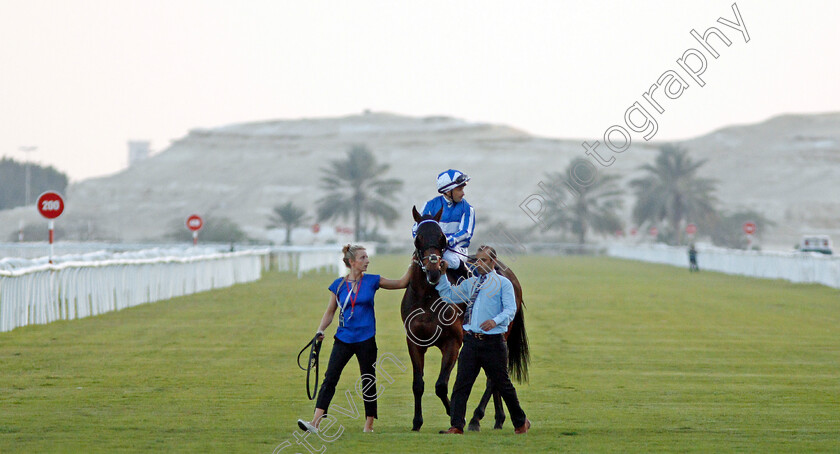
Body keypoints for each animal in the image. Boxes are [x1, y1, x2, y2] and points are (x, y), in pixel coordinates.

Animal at [402, 207, 532, 430]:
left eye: (442, 237)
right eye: (418, 238)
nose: (434, 271)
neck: (427, 296)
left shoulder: (452, 342)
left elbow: (441, 385)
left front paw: (455, 415)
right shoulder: (414, 342)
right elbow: (418, 384)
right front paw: (417, 422)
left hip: (501, 333)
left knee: (493, 377)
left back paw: (475, 418)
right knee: (493, 375)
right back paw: (498, 419)